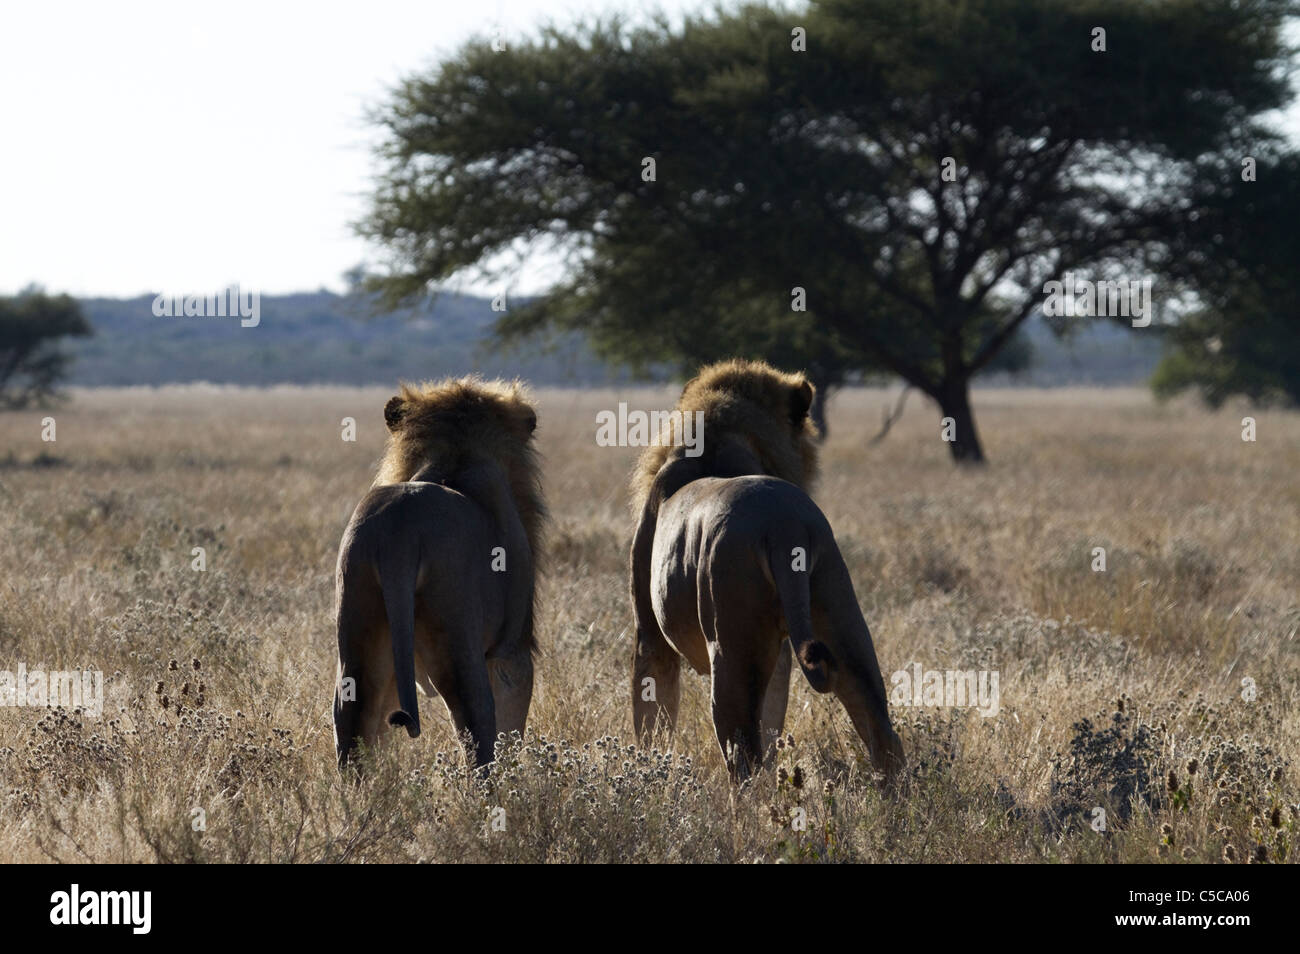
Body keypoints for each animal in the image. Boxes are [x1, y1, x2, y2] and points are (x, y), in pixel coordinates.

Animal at [335, 376, 543, 774]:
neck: (455, 456)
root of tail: (401, 532)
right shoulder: (513, 647)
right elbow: (512, 721)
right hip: (458, 636)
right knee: (476, 723)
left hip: (358, 623)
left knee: (352, 716)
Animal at [629, 358, 904, 785]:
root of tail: (783, 524)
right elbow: (773, 718)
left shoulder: (650, 633)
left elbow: (653, 715)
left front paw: (648, 770)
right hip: (841, 617)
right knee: (881, 728)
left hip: (731, 643)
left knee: (742, 753)